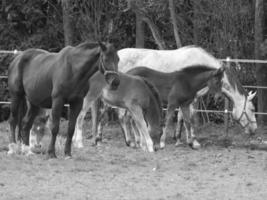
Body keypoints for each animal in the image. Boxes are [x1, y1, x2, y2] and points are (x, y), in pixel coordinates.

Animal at [73, 45, 258, 148]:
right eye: (252, 108)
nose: (254, 131)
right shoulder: (193, 98)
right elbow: (189, 117)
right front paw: (192, 140)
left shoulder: (186, 99)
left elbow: (182, 117)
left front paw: (178, 139)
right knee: (113, 114)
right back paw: (120, 140)